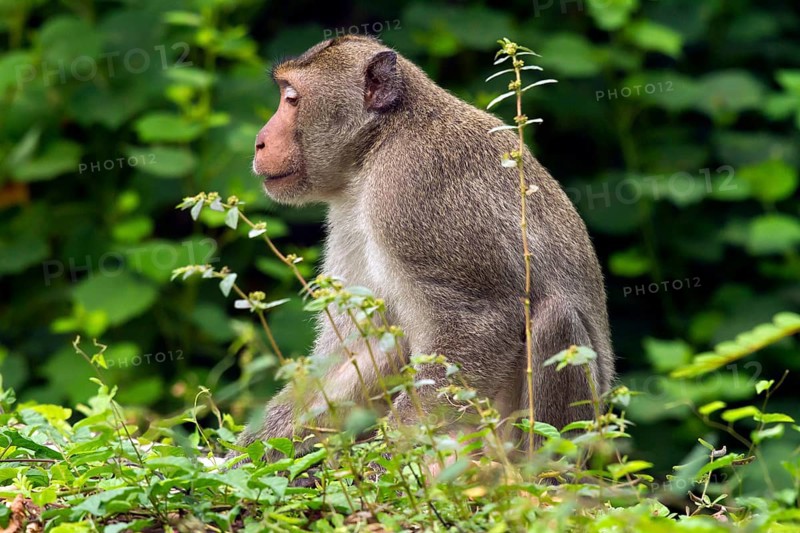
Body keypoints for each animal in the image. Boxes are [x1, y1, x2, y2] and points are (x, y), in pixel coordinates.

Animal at [238, 34, 614, 462]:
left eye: (292, 99)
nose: (259, 142)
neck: (377, 143)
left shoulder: (409, 190)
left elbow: (483, 322)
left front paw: (389, 463)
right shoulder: (352, 213)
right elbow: (360, 349)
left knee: (556, 317)